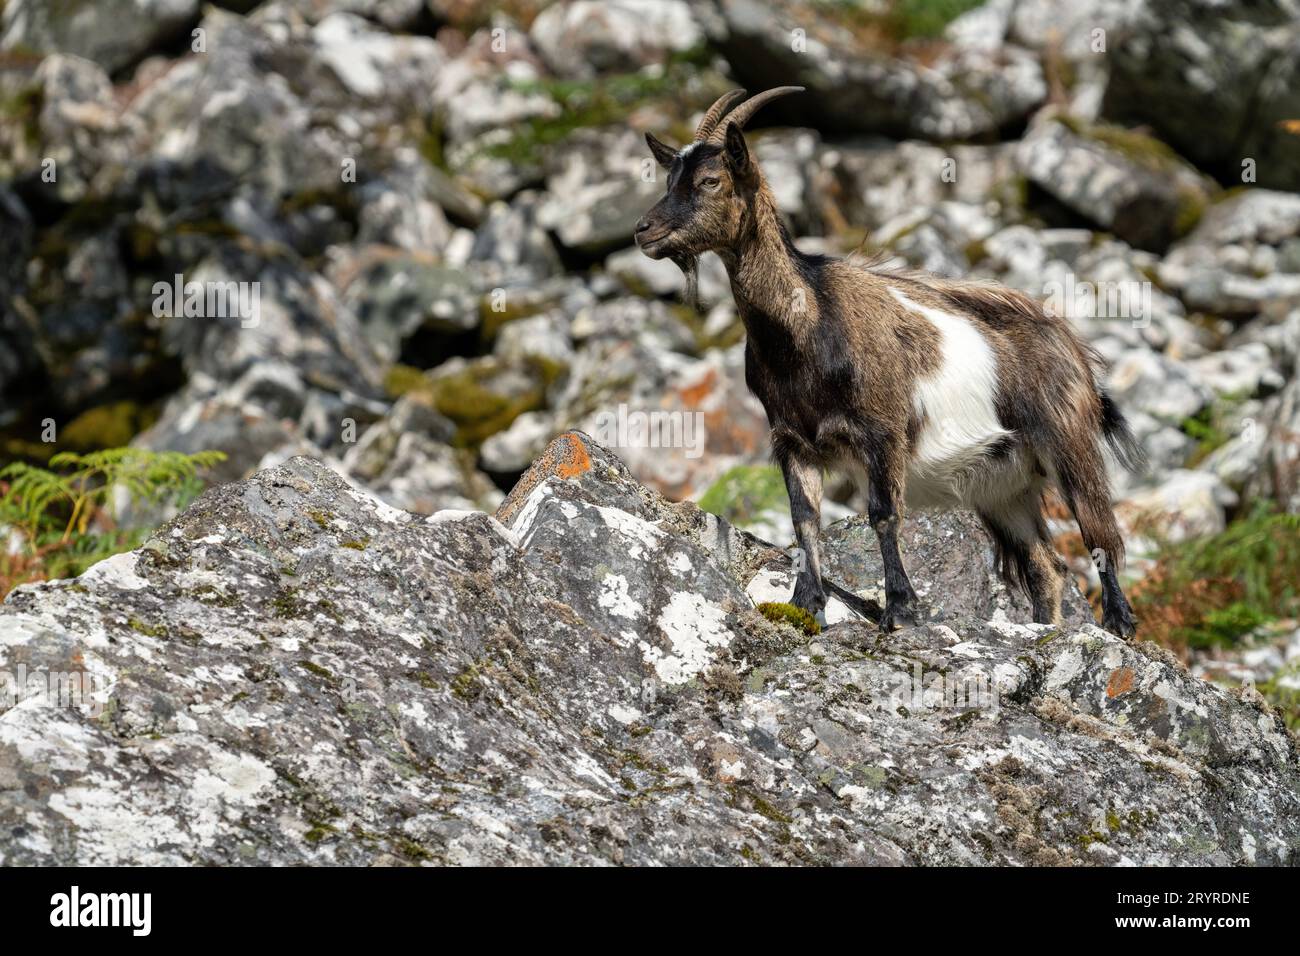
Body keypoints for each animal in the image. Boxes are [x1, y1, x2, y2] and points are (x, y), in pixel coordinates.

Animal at [634, 89, 1144, 639]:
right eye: (669, 179)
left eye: (711, 180)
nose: (644, 230)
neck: (806, 324)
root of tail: (1071, 344)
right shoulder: (792, 440)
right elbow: (804, 518)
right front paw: (805, 603)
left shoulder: (882, 432)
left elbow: (882, 514)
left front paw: (900, 608)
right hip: (1001, 483)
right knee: (1045, 567)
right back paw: (1042, 629)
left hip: (1068, 443)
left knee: (1099, 533)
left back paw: (1118, 625)